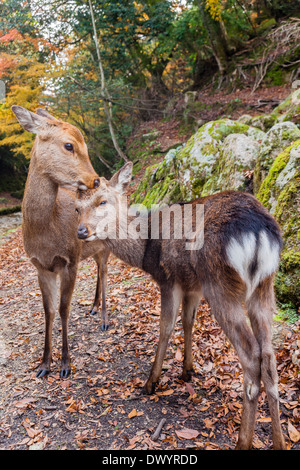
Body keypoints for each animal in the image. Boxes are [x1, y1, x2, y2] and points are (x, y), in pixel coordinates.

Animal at [11, 104, 110, 380]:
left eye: (85, 144)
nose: (95, 180)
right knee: (98, 270)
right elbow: (49, 311)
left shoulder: (70, 260)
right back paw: (93, 307)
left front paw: (65, 364)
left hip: (106, 245)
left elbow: (65, 309)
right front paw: (44, 365)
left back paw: (104, 319)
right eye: (69, 145)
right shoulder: (41, 266)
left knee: (104, 272)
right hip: (91, 249)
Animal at [75, 163, 286, 450]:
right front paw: (187, 371)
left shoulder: (169, 279)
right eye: (77, 207)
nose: (81, 231)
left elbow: (165, 328)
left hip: (219, 285)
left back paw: (243, 441)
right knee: (269, 358)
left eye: (102, 201)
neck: (146, 251)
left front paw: (151, 382)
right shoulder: (192, 286)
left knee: (252, 357)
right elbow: (188, 322)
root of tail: (258, 232)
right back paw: (280, 442)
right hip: (264, 286)